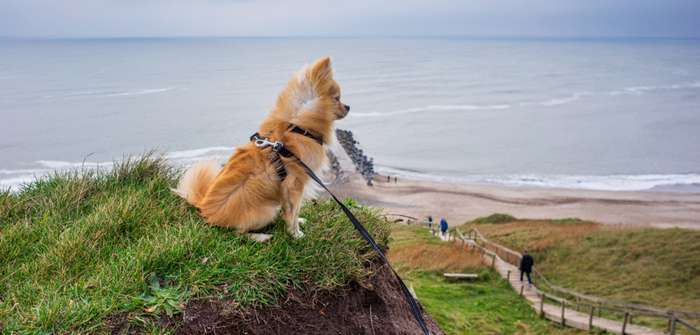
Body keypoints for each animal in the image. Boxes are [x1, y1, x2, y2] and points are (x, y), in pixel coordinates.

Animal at [175, 58, 350, 242]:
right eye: (337, 98)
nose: (348, 107)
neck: (296, 126)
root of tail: (204, 209)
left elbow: (292, 211)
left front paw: (298, 224)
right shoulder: (295, 184)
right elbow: (293, 211)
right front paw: (295, 234)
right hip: (267, 210)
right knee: (237, 233)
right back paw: (260, 237)